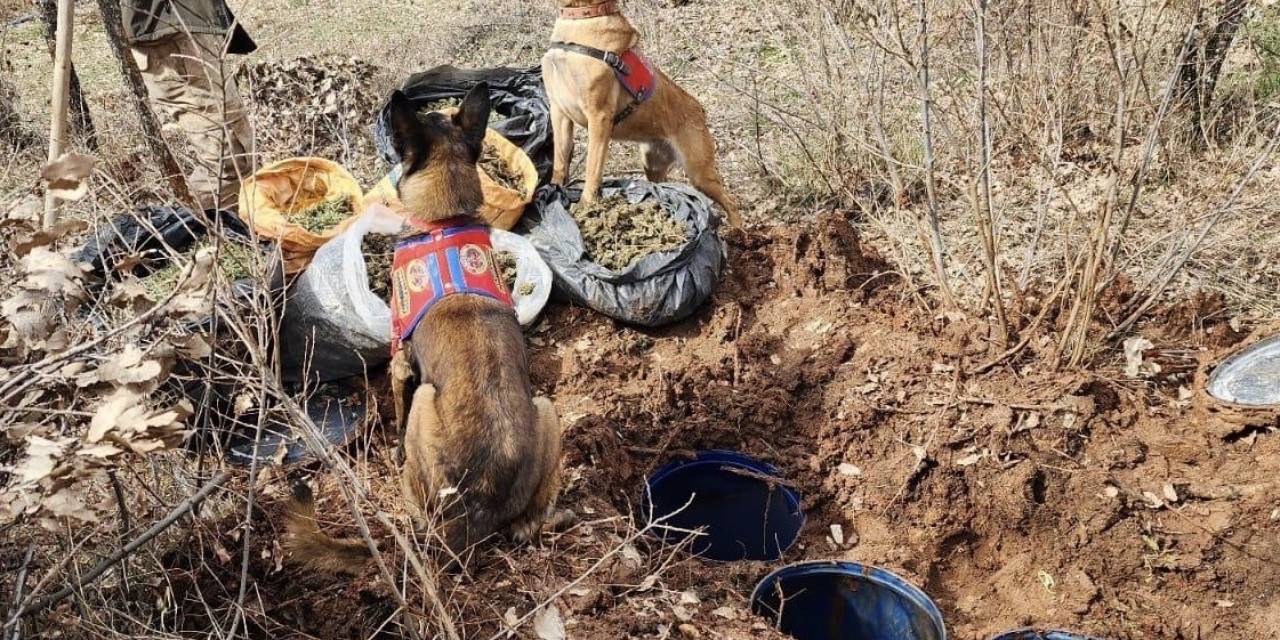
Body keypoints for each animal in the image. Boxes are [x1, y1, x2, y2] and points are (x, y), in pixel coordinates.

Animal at [285, 83, 565, 570]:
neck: (443, 219)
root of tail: (471, 514)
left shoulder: (400, 362)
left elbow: (396, 413)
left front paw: (395, 450)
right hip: (545, 408)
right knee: (528, 522)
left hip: (426, 401)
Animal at [537, 0, 742, 227]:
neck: (581, 18)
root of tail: (699, 109)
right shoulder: (559, 112)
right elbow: (560, 163)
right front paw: (554, 192)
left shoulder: (598, 117)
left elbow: (592, 170)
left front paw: (586, 207)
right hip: (653, 166)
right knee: (663, 187)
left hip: (698, 172)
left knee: (730, 202)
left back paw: (738, 231)